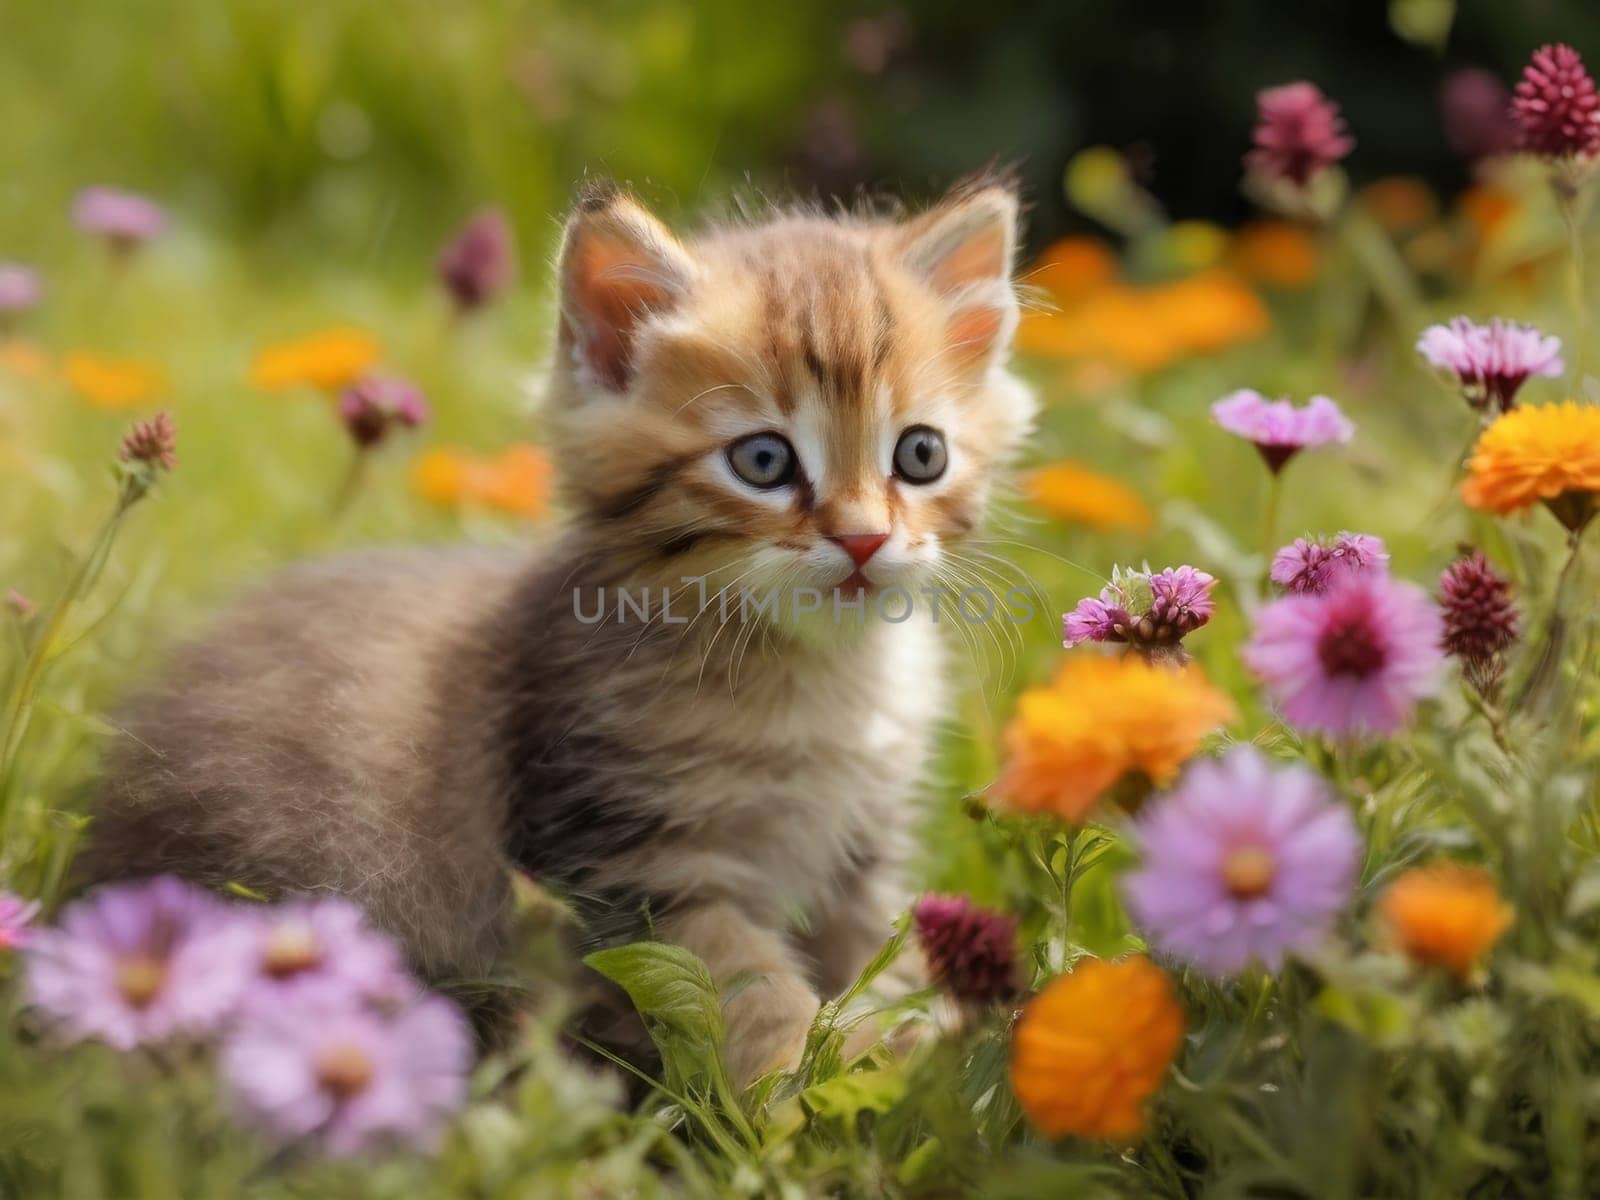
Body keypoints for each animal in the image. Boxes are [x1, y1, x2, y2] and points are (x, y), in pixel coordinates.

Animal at [84, 178, 1036, 1088]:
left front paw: (927, 1038)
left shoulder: (861, 853)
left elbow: (872, 956)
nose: (865, 539)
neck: (815, 676)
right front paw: (820, 1091)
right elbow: (749, 993)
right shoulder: (628, 866)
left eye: (920, 455)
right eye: (763, 461)